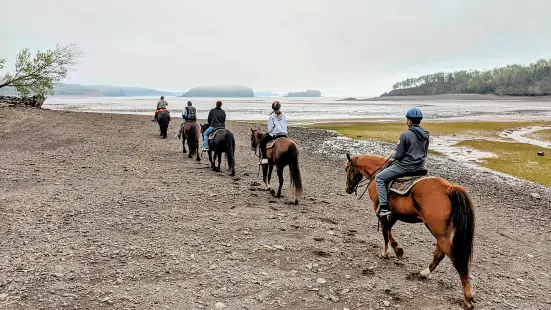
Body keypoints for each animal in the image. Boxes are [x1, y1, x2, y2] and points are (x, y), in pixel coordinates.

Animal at [348, 153, 476, 310]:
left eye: (347, 168)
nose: (347, 188)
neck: (377, 172)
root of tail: (449, 188)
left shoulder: (380, 210)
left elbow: (384, 230)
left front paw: (386, 252)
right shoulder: (395, 214)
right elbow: (389, 229)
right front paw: (397, 249)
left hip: (439, 233)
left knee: (457, 259)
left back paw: (467, 298)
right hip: (442, 233)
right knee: (440, 253)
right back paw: (425, 272)